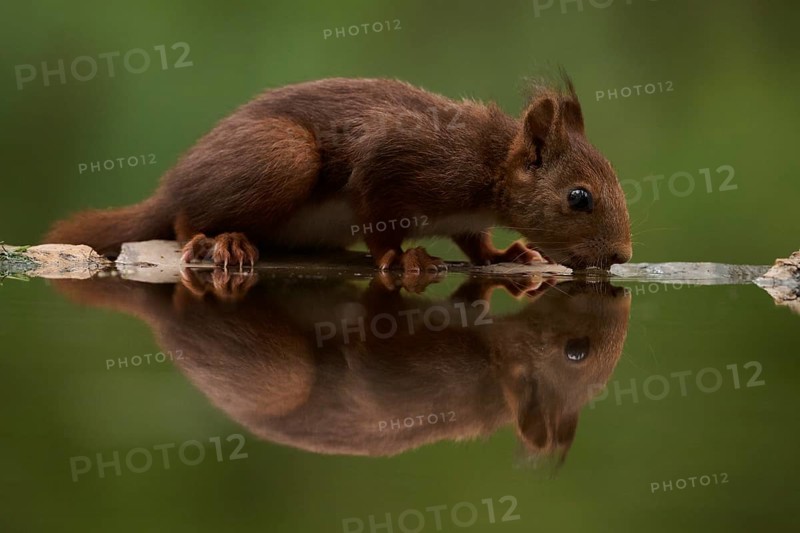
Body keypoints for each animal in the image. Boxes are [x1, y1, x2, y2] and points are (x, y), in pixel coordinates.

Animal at [45, 74, 632, 271]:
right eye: (579, 197)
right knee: (183, 218)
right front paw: (403, 258)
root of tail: (169, 185)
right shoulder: (396, 162)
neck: (489, 168)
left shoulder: (465, 215)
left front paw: (506, 254)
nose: (622, 256)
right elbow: (376, 216)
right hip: (284, 155)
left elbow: (474, 242)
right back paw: (220, 239)